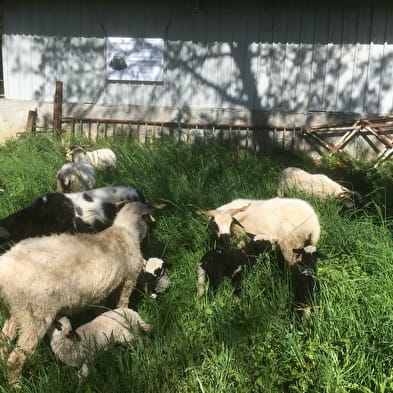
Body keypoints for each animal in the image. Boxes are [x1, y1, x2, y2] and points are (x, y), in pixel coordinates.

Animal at [0, 199, 151, 382]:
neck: (125, 231)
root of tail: (4, 268)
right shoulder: (129, 278)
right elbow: (123, 303)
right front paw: (123, 315)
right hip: (34, 315)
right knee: (15, 359)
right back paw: (16, 384)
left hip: (14, 310)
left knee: (3, 341)